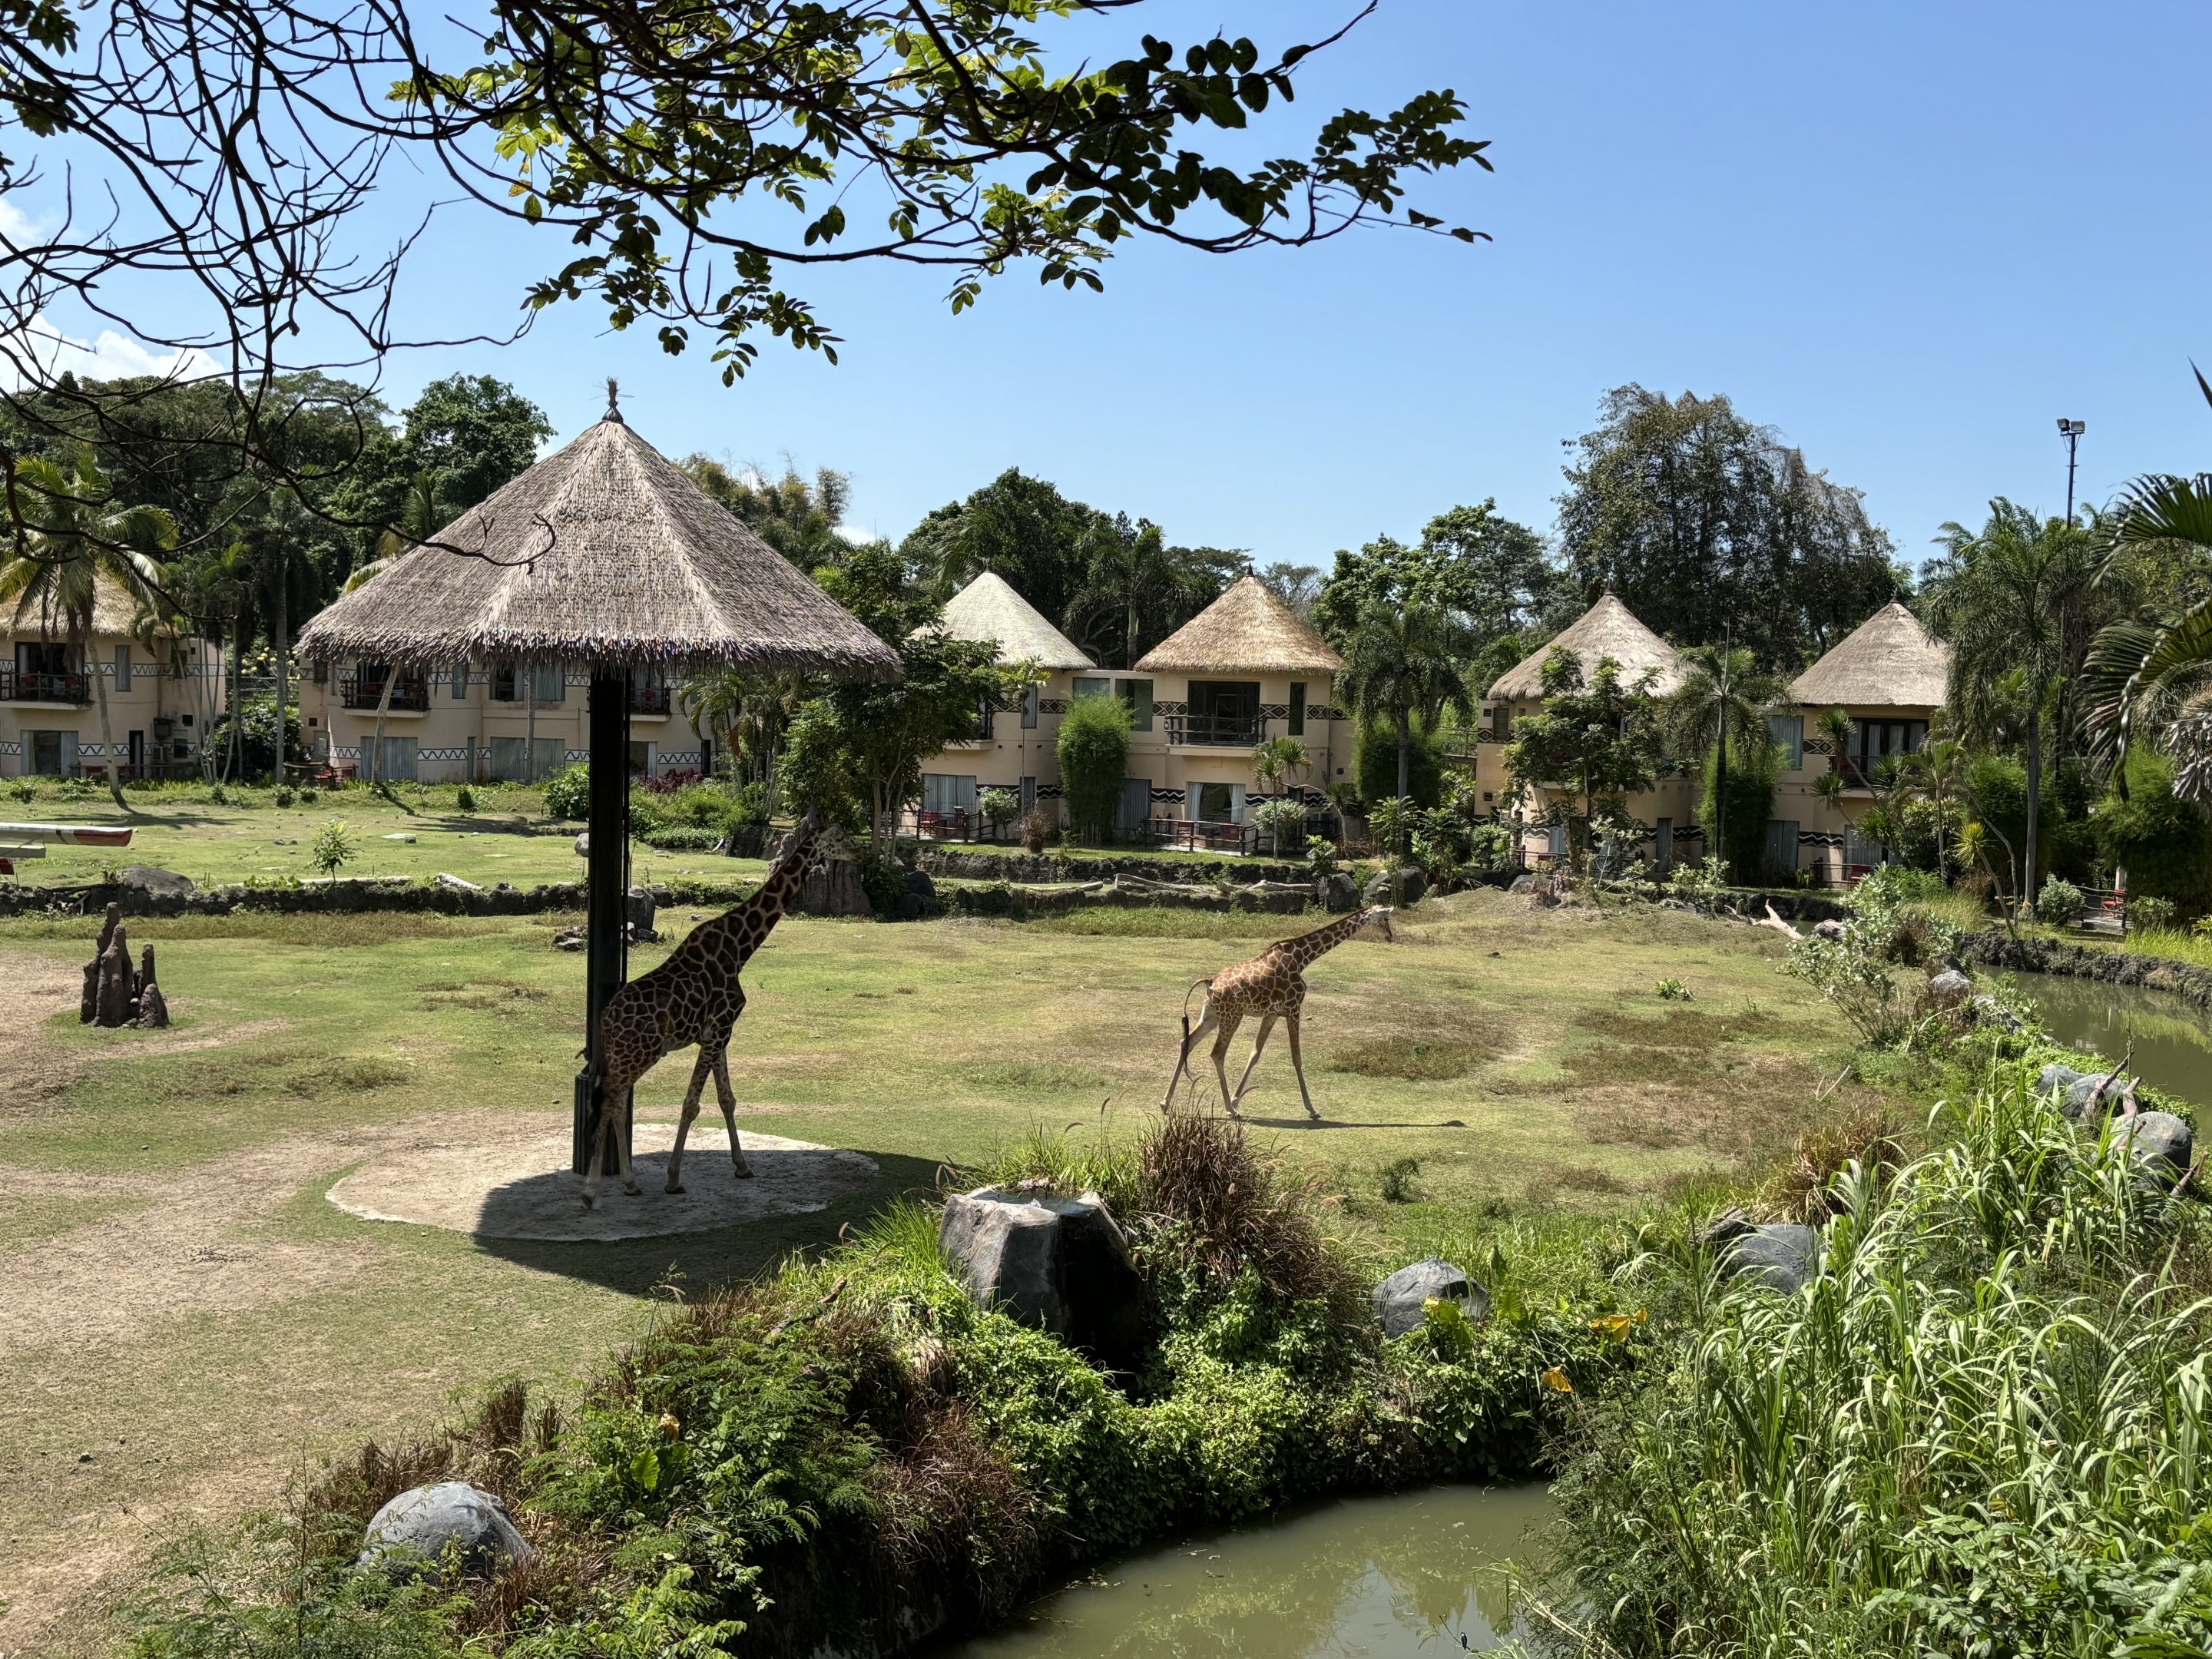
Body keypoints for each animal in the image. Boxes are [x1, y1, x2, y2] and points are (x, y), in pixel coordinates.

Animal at [581, 808, 825, 1208]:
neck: (740, 948)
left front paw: (742, 1166)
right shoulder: (720, 1028)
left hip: (622, 1055)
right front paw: (674, 1179)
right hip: (640, 1053)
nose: (859, 856)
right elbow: (692, 1104)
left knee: (612, 1098)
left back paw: (624, 1184)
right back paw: (595, 1190)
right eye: (842, 840)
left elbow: (726, 1099)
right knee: (612, 1099)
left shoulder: (718, 1033)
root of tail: (604, 1019)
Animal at [1158, 905, 1395, 1122]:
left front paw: (1236, 1098)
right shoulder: (1294, 1008)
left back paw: (1165, 1102)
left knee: (1187, 1042)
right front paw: (1311, 1109)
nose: (1391, 936)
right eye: (1386, 918)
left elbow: (1255, 1054)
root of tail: (1210, 982)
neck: (1302, 958)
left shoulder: (1272, 1014)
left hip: (1212, 1015)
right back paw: (1230, 1110)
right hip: (1232, 1016)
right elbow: (1296, 1057)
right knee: (1217, 1053)